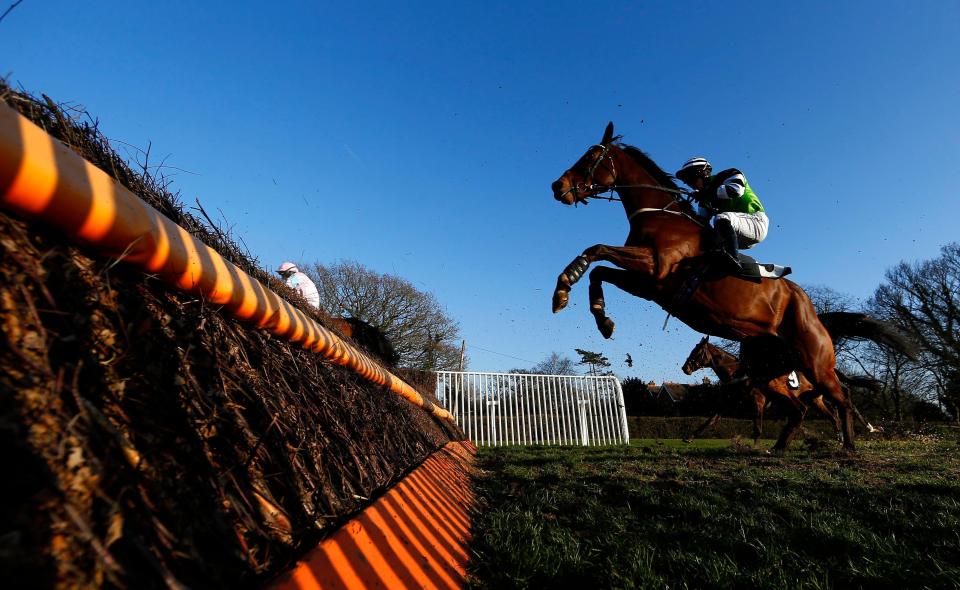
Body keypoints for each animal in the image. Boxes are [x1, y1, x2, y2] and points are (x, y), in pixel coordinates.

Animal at [552, 122, 912, 450]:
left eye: (591, 156)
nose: (558, 185)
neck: (661, 216)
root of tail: (811, 308)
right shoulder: (650, 286)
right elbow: (599, 270)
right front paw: (597, 316)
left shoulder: (656, 269)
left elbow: (596, 249)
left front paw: (566, 285)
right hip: (769, 367)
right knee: (802, 408)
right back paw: (781, 447)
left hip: (814, 360)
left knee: (842, 397)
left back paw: (848, 445)